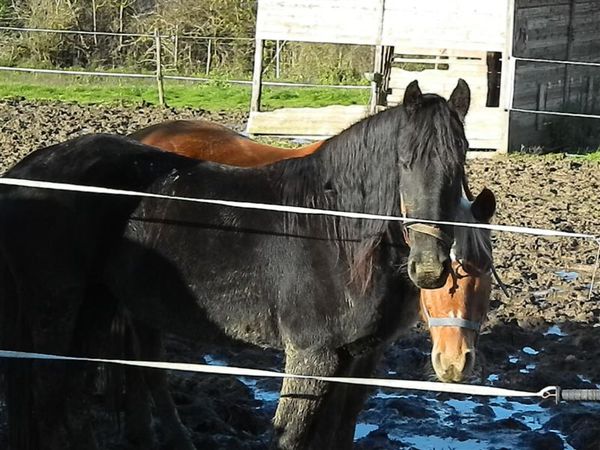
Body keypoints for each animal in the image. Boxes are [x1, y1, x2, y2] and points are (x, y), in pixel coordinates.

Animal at [0, 81, 468, 450]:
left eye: (461, 158)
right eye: (403, 161)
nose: (429, 267)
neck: (333, 230)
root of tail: (27, 169)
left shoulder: (352, 360)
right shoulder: (311, 355)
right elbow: (290, 436)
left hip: (96, 306)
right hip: (55, 306)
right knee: (52, 398)